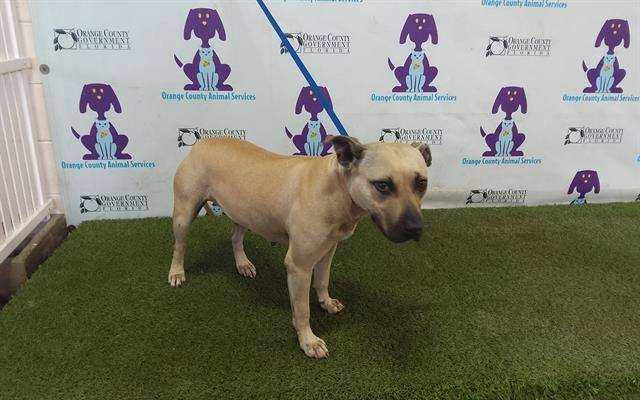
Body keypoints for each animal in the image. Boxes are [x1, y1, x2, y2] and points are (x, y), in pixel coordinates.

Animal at [168, 136, 432, 358]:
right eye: (382, 185)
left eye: (421, 183)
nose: (415, 227)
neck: (337, 187)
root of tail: (201, 142)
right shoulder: (300, 266)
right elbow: (303, 309)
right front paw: (308, 341)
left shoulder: (328, 251)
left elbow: (323, 280)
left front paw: (326, 301)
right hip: (184, 212)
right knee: (180, 244)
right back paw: (177, 272)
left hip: (244, 212)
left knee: (235, 237)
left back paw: (243, 264)